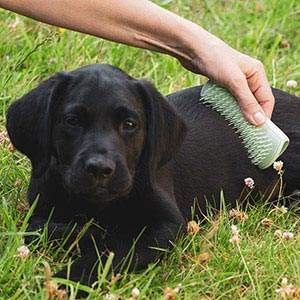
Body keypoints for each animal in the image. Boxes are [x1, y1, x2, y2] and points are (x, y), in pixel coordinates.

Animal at [5, 65, 300, 286]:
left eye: (129, 124)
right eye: (72, 121)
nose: (100, 169)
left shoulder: (167, 225)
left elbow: (113, 251)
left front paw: (69, 280)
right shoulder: (36, 213)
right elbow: (48, 229)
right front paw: (91, 233)